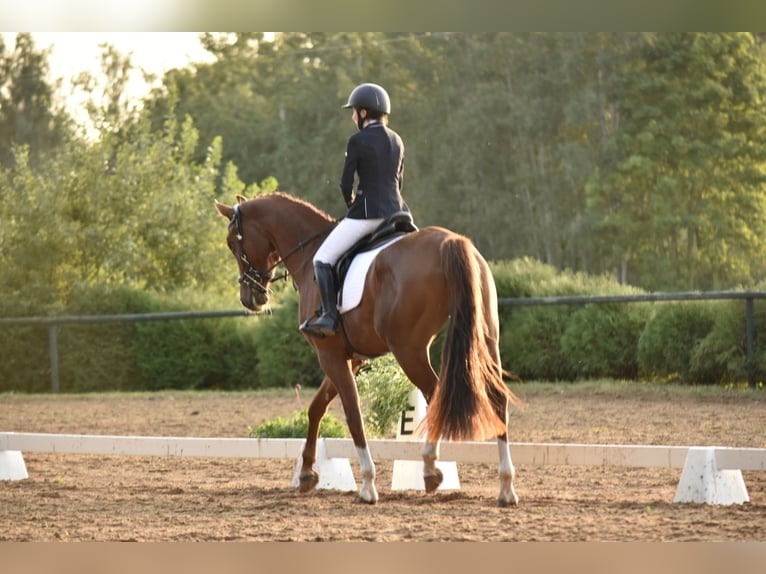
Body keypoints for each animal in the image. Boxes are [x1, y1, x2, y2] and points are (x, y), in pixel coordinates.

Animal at [216, 191, 528, 506]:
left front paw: (367, 484)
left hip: (408, 349)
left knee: (436, 394)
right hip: (486, 337)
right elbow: (317, 408)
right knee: (497, 399)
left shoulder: (329, 354)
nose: (251, 298)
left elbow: (352, 414)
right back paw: (506, 486)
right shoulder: (351, 357)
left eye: (232, 242)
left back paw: (430, 468)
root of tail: (450, 242)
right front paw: (306, 473)